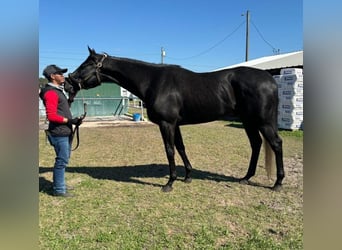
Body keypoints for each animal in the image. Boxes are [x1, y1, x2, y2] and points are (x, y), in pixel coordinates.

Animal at [65, 47, 284, 191]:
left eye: (85, 65)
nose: (68, 84)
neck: (153, 81)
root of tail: (270, 80)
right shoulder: (175, 124)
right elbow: (181, 148)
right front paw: (187, 176)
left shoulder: (167, 124)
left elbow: (169, 150)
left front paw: (169, 183)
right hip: (249, 121)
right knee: (256, 144)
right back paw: (246, 178)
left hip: (263, 122)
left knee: (276, 144)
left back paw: (278, 183)